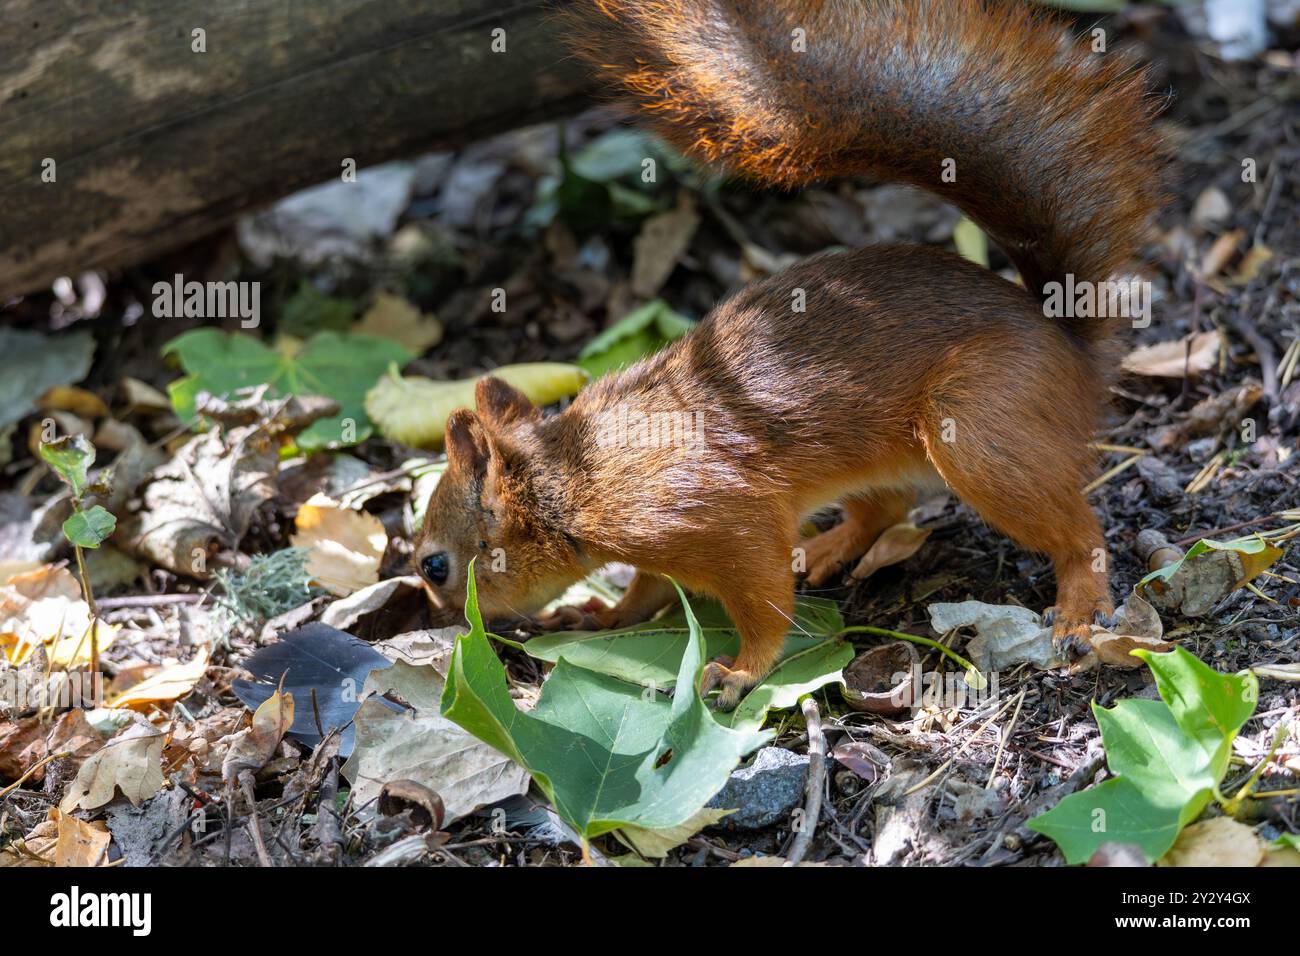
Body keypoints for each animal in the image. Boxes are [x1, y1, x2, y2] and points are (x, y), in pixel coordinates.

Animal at [413, 0, 1170, 702]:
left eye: (434, 565)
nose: (446, 626)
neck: (571, 481)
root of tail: (1065, 341)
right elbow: (648, 591)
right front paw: (602, 616)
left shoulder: (710, 515)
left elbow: (760, 597)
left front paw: (741, 670)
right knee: (887, 507)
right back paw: (827, 547)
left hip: (981, 424)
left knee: (1077, 531)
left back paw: (1077, 609)